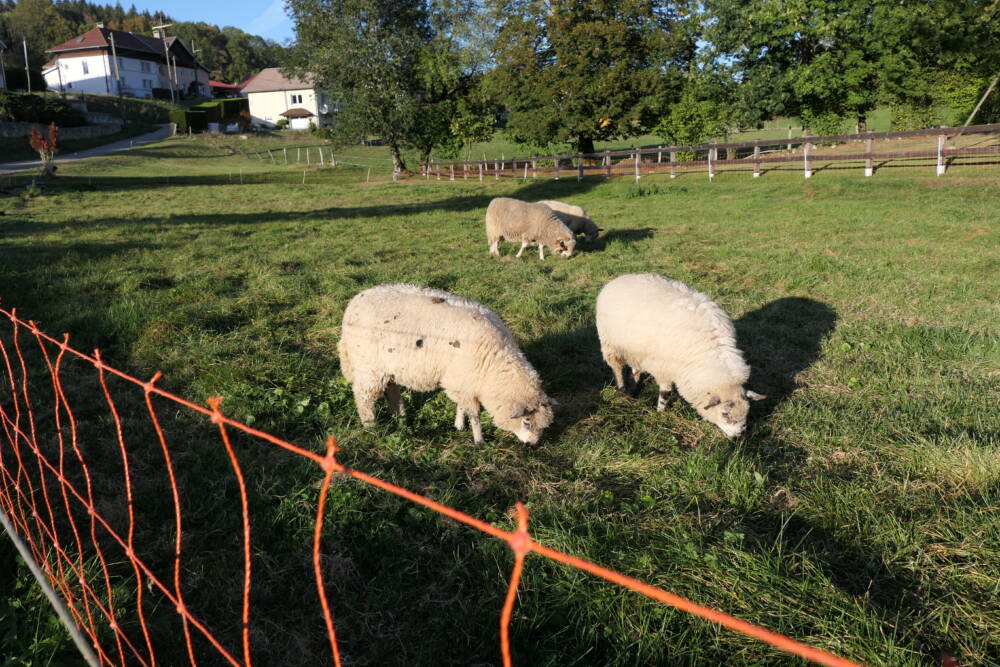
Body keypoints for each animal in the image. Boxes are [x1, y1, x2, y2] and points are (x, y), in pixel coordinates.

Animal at [336, 284, 556, 446]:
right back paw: (371, 427)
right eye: (527, 422)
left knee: (392, 391)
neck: (494, 366)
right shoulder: (462, 380)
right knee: (364, 398)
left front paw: (459, 425)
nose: (533, 445)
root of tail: (353, 304)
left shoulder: (461, 380)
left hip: (386, 368)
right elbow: (475, 414)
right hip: (368, 367)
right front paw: (479, 440)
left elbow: (461, 407)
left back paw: (401, 419)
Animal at [592, 272, 764, 438]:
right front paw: (660, 412)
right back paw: (622, 389)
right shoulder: (662, 367)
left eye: (747, 413)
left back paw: (633, 388)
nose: (739, 436)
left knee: (635, 367)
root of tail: (619, 278)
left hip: (634, 348)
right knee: (617, 367)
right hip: (610, 345)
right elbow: (665, 393)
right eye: (725, 413)